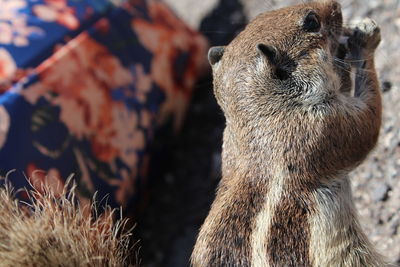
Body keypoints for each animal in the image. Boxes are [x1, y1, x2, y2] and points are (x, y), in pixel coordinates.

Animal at [191, 1, 390, 266]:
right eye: (312, 22)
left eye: (263, 16)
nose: (335, 4)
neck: (262, 115)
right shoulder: (326, 128)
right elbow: (369, 122)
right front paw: (365, 39)